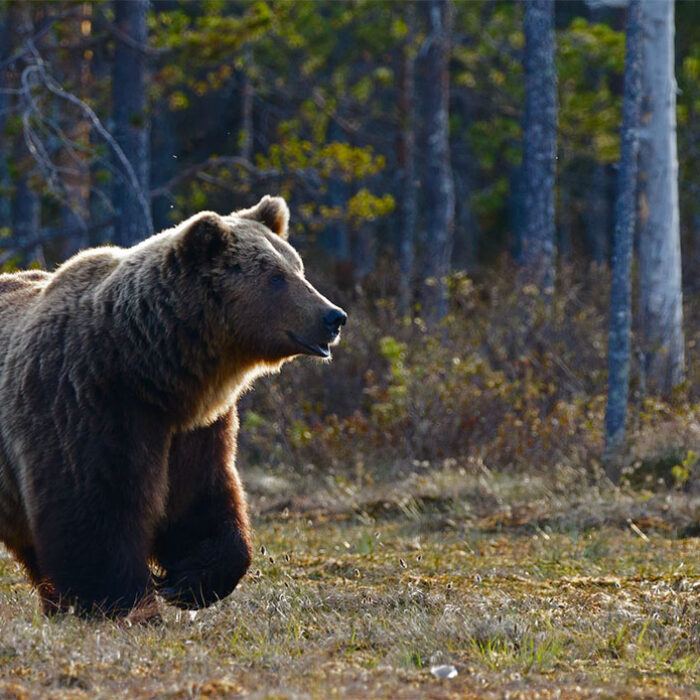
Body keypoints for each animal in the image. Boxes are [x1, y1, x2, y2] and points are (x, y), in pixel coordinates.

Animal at [0, 195, 346, 617]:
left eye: (298, 268)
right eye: (276, 277)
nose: (334, 317)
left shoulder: (195, 429)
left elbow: (201, 501)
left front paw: (188, 581)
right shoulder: (84, 402)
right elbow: (94, 508)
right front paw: (124, 601)